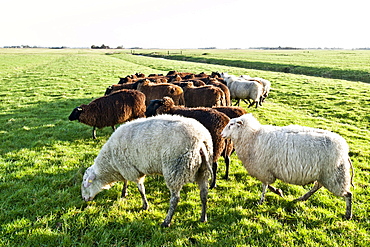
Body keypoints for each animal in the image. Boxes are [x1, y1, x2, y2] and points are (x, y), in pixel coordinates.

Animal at [81, 113, 214, 226]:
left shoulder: (131, 169)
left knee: (175, 199)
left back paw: (166, 221)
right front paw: (124, 192)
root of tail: (200, 141)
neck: (110, 164)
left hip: (175, 170)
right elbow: (125, 181)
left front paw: (145, 206)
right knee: (204, 194)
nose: (84, 199)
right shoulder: (126, 168)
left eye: (84, 184)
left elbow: (141, 190)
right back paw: (203, 218)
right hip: (203, 171)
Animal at [221, 113, 354, 219]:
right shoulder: (267, 171)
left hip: (334, 176)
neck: (252, 136)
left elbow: (265, 186)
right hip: (326, 175)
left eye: (231, 124)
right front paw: (278, 192)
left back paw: (348, 215)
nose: (221, 134)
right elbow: (269, 185)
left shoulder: (263, 170)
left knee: (348, 194)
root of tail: (345, 152)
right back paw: (301, 198)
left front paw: (261, 201)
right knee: (317, 186)